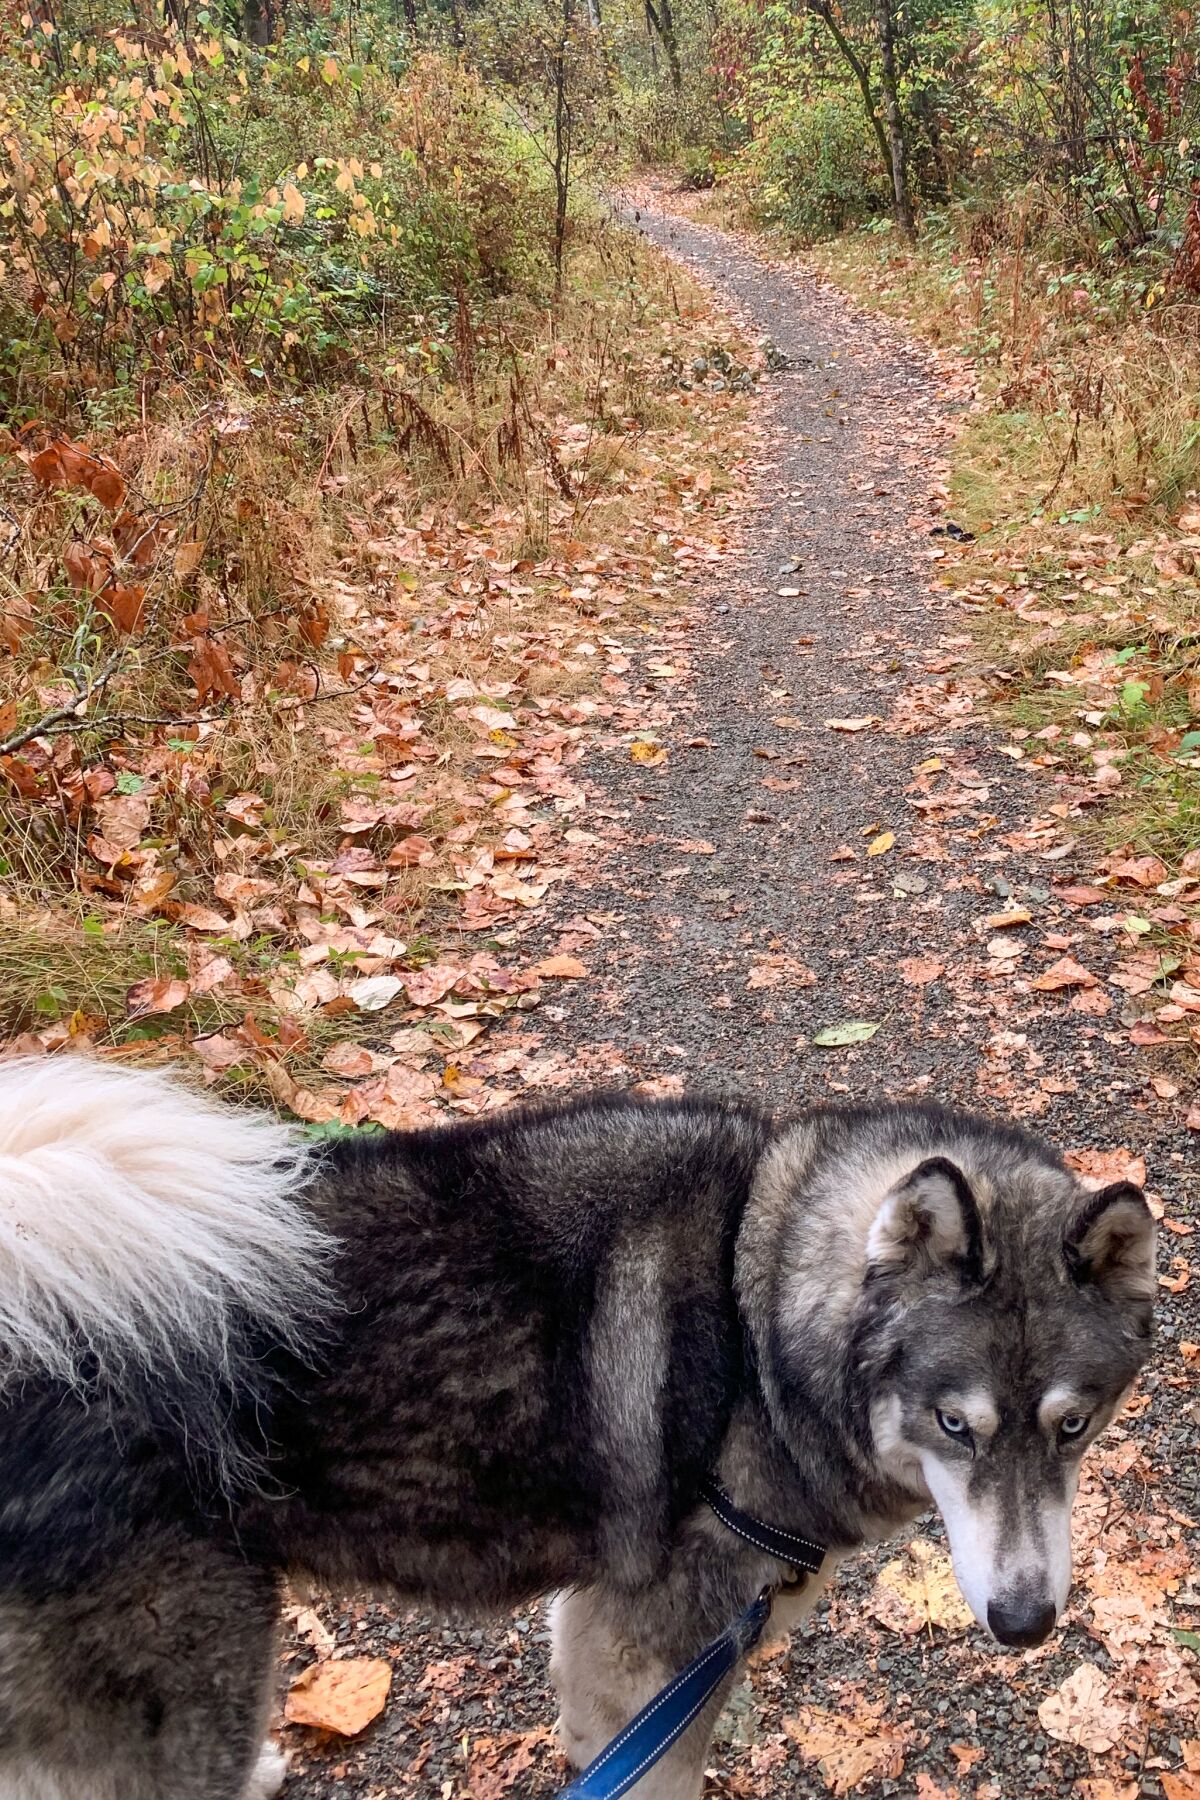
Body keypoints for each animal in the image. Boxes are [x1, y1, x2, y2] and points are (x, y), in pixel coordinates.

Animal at [0, 1058, 1151, 1792]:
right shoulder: (648, 1660)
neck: (755, 1304)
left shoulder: (605, 1637)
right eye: (955, 1424)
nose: (1026, 1623)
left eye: (1074, 1426)